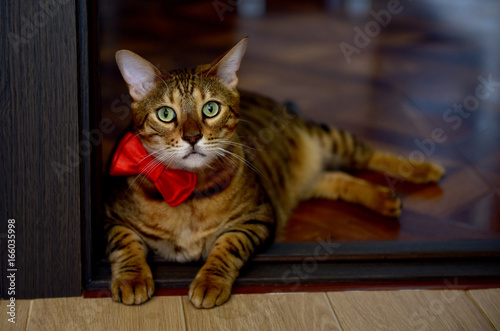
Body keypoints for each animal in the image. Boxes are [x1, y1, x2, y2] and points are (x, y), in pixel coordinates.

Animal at [105, 37, 446, 310]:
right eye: (165, 114)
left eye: (211, 109)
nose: (192, 137)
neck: (187, 188)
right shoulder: (112, 218)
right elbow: (124, 244)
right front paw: (132, 279)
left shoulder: (256, 218)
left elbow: (227, 248)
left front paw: (210, 282)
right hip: (307, 181)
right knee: (338, 180)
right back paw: (384, 198)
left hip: (330, 139)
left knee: (369, 155)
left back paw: (423, 168)